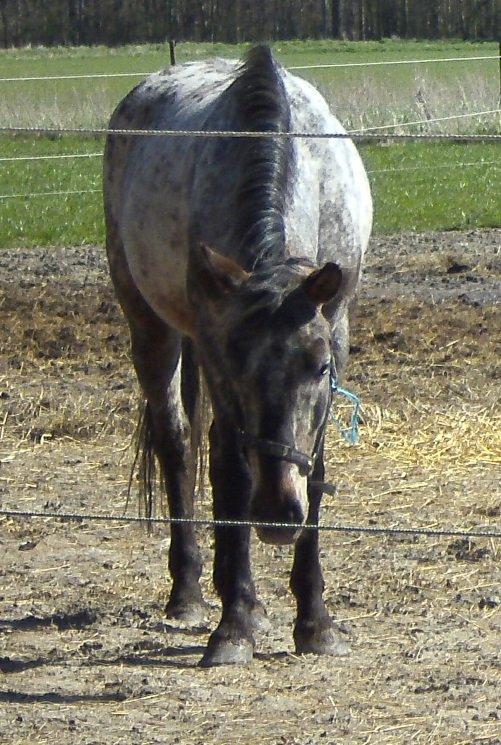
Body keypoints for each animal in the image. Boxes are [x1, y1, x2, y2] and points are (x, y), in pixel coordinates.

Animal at [103, 43, 372, 664]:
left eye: (320, 367)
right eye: (233, 368)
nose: (274, 515)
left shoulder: (338, 329)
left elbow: (316, 469)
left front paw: (315, 621)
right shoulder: (210, 345)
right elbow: (228, 467)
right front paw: (235, 622)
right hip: (148, 324)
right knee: (177, 441)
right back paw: (189, 591)